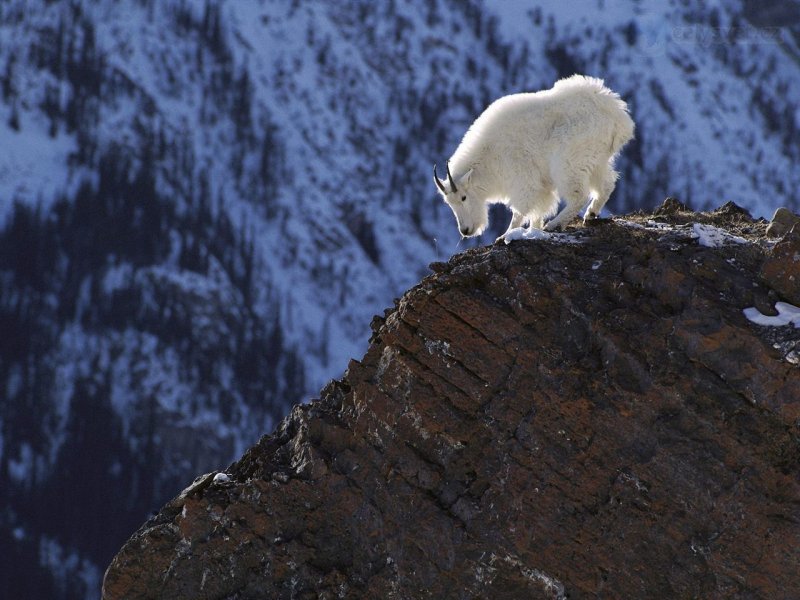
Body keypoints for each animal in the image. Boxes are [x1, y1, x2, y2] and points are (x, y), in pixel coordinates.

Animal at [434, 76, 636, 240]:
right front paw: (533, 230)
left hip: (569, 160)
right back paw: (591, 214)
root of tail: (618, 117)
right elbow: (537, 210)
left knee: (580, 194)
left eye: (463, 197)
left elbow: (521, 208)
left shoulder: (523, 178)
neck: (488, 156)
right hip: (595, 159)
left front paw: (506, 235)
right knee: (607, 184)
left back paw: (556, 224)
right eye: (449, 203)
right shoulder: (541, 186)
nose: (465, 231)